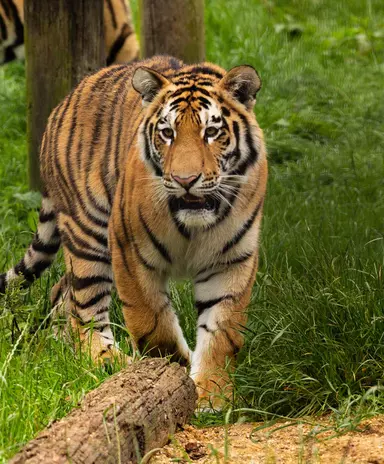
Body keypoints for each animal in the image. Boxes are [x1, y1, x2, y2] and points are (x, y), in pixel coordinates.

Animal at [0, 56, 268, 408]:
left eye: (211, 132)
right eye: (167, 133)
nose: (185, 180)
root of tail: (62, 105)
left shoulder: (231, 261)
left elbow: (223, 332)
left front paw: (212, 394)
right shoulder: (129, 249)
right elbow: (151, 321)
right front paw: (173, 366)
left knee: (61, 293)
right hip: (88, 233)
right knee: (84, 312)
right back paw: (108, 360)